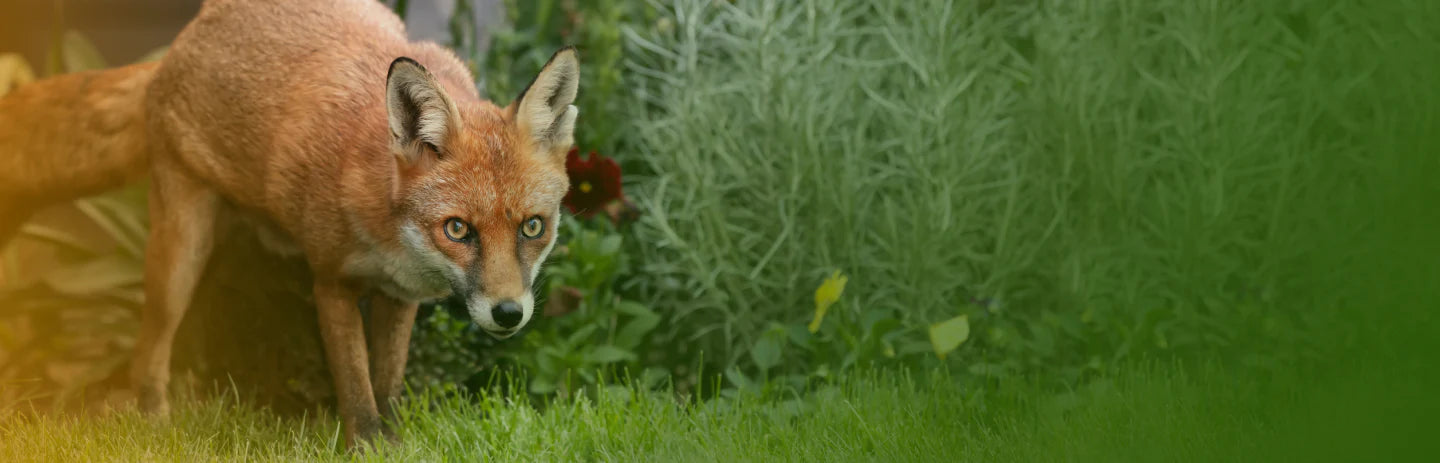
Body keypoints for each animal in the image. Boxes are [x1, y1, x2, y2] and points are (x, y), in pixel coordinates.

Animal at [5, 0, 581, 448]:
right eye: (458, 229)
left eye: (533, 227)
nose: (508, 314)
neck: (390, 235)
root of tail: (188, 34)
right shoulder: (331, 283)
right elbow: (356, 386)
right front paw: (368, 446)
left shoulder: (400, 297)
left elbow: (387, 384)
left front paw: (397, 443)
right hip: (180, 255)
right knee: (151, 347)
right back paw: (155, 426)